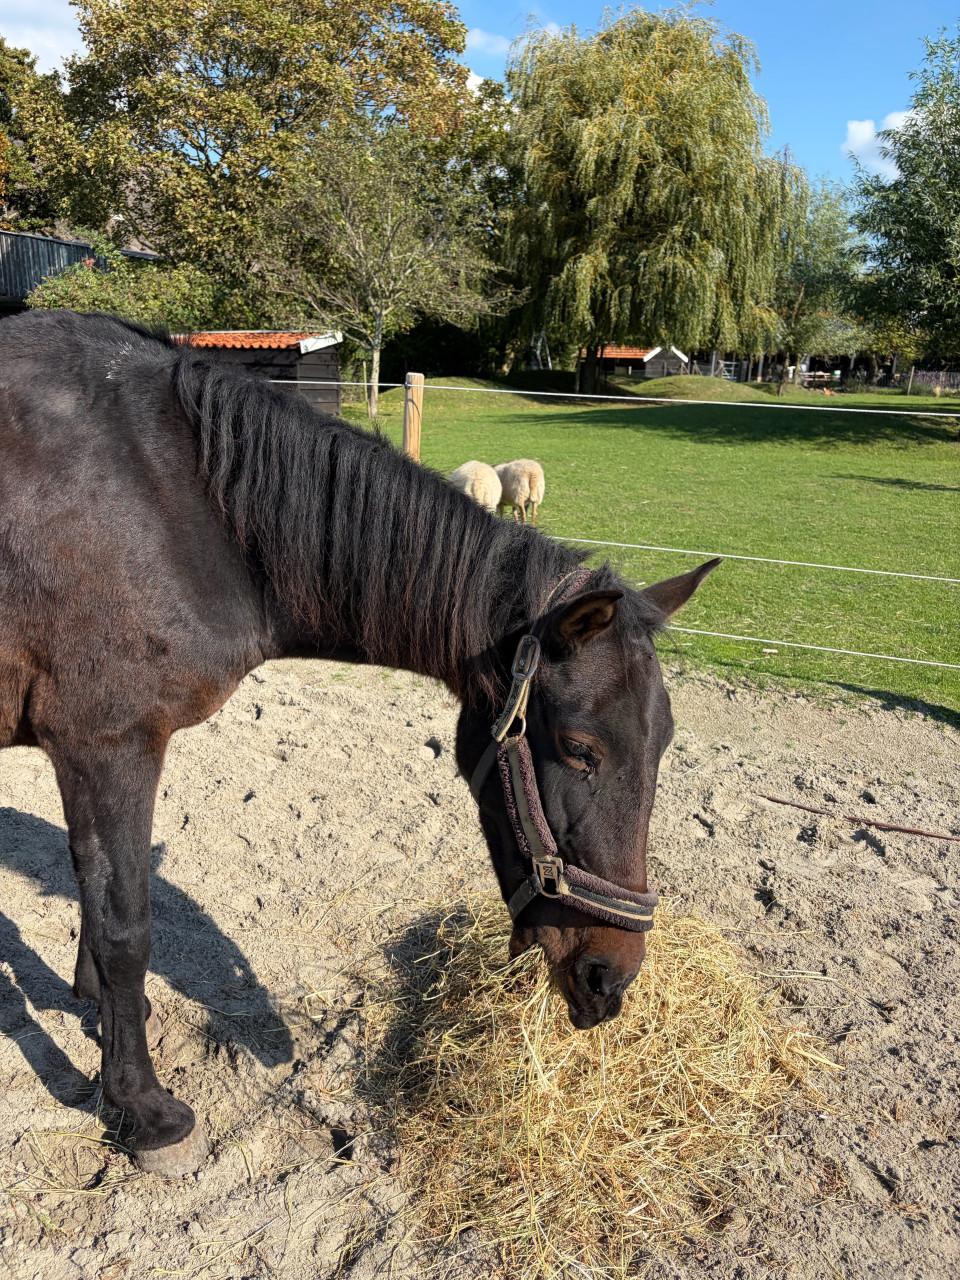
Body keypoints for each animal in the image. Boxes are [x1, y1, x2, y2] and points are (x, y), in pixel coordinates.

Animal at [0, 310, 718, 1176]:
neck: (172, 501)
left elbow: (99, 897)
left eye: (665, 745)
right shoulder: (107, 745)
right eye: (581, 750)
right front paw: (144, 1111)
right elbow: (123, 929)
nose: (611, 978)